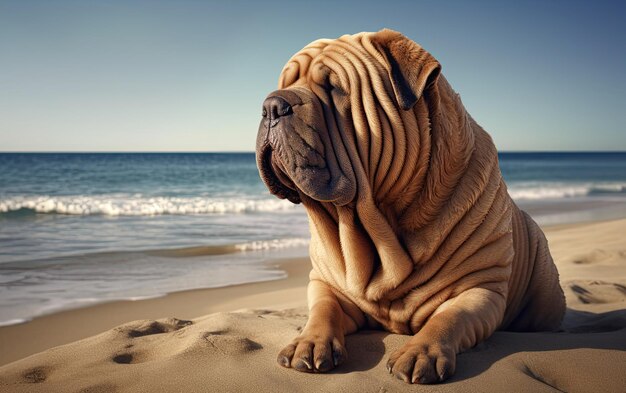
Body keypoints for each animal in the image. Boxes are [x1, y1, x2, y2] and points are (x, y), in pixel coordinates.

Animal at [254, 29, 564, 384]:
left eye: (333, 88)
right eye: (285, 82)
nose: (271, 106)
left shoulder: (480, 289)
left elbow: (447, 319)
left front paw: (420, 352)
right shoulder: (325, 284)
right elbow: (322, 311)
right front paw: (308, 341)